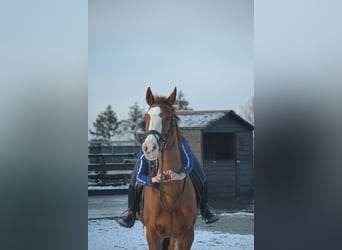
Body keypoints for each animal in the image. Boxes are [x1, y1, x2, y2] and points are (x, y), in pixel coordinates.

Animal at [139, 87, 198, 250]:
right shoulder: (152, 234)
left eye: (167, 118)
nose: (149, 148)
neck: (170, 195)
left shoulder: (186, 235)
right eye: (146, 117)